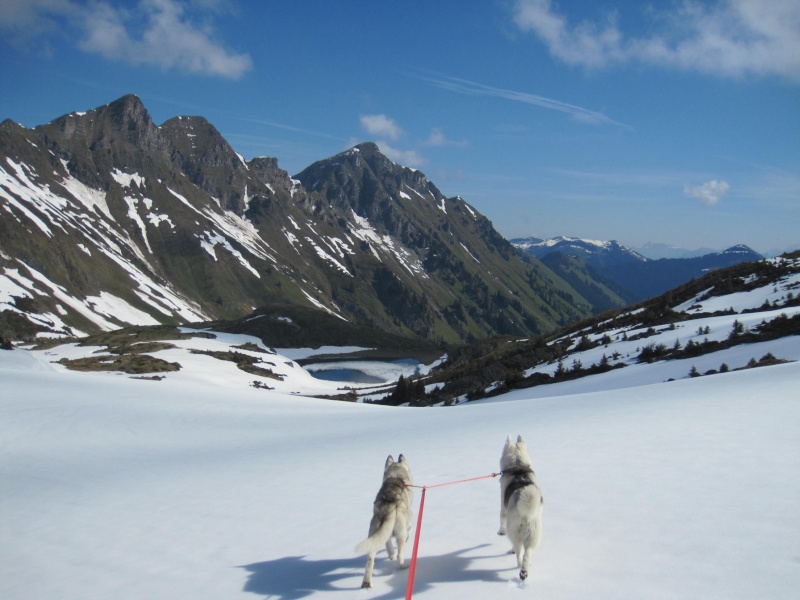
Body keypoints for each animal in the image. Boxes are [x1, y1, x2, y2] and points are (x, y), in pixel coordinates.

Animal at [360, 454, 416, 584]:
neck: (395, 476)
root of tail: (388, 508)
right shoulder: (409, 523)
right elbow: (410, 530)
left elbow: (388, 543)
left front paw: (390, 554)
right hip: (400, 533)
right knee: (400, 555)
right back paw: (403, 566)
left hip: (375, 532)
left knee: (371, 559)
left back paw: (366, 582)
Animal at [496, 436, 540, 580]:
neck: (517, 466)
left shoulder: (503, 509)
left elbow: (501, 519)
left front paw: (500, 531)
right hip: (533, 535)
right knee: (527, 553)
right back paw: (524, 571)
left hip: (515, 531)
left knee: (519, 552)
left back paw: (518, 564)